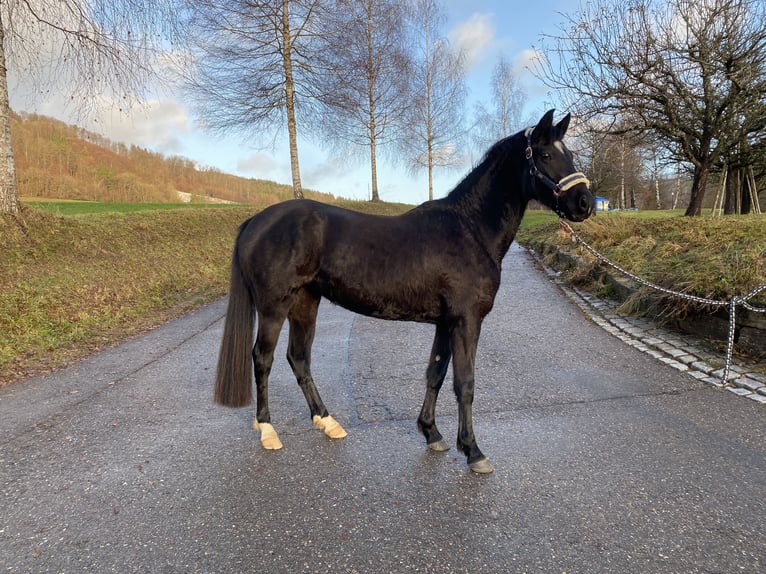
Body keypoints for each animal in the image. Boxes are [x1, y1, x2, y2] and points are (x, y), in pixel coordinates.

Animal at [214, 110, 592, 474]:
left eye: (569, 154)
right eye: (545, 154)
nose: (585, 202)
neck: (470, 228)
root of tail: (255, 222)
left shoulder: (445, 322)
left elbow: (436, 374)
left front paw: (432, 433)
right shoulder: (466, 320)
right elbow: (464, 383)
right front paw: (473, 451)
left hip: (306, 303)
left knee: (299, 358)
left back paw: (328, 422)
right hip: (274, 307)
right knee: (263, 359)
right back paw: (268, 431)